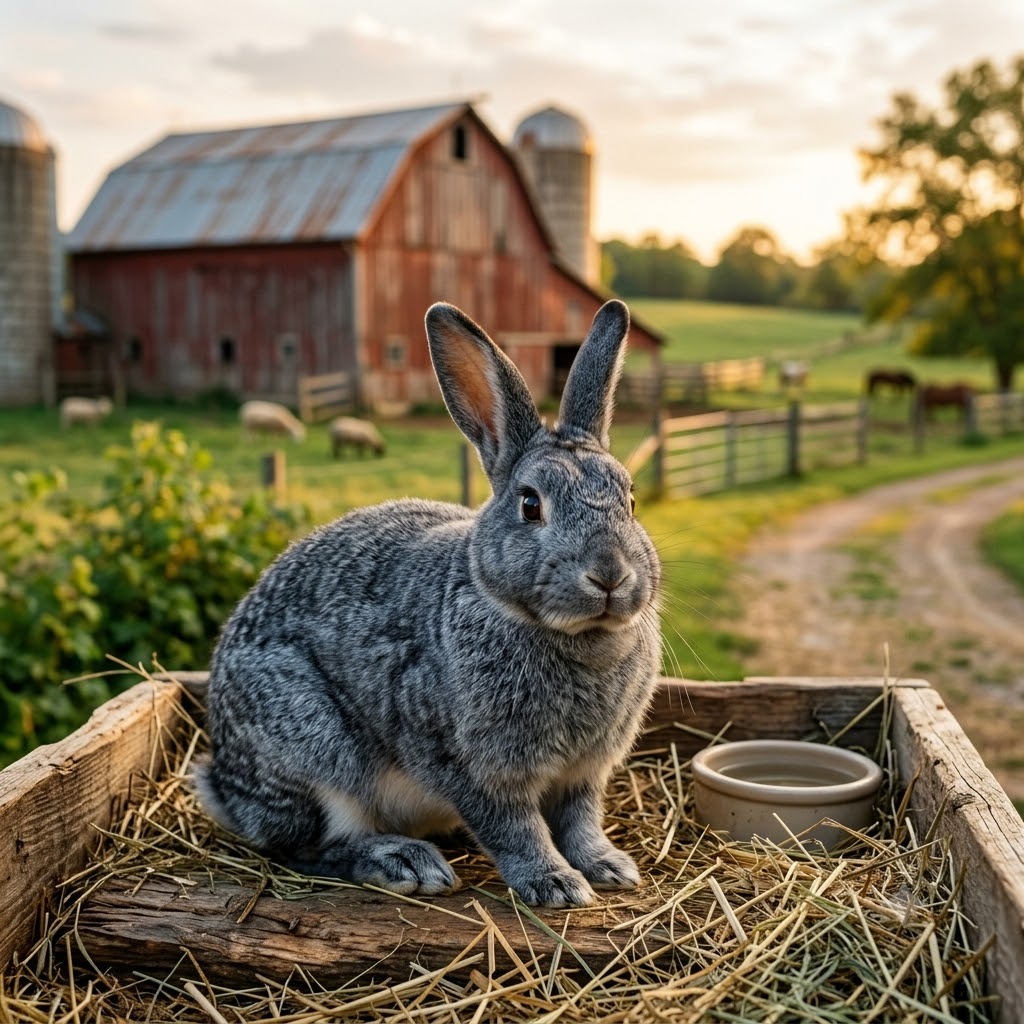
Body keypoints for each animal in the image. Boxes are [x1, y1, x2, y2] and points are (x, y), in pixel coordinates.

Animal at [193, 298, 662, 908]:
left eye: (630, 499)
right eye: (530, 504)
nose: (609, 574)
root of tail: (223, 784)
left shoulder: (583, 773)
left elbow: (580, 821)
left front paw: (608, 866)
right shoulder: (464, 763)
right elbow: (515, 828)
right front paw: (554, 884)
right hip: (310, 745)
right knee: (304, 847)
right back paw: (403, 862)